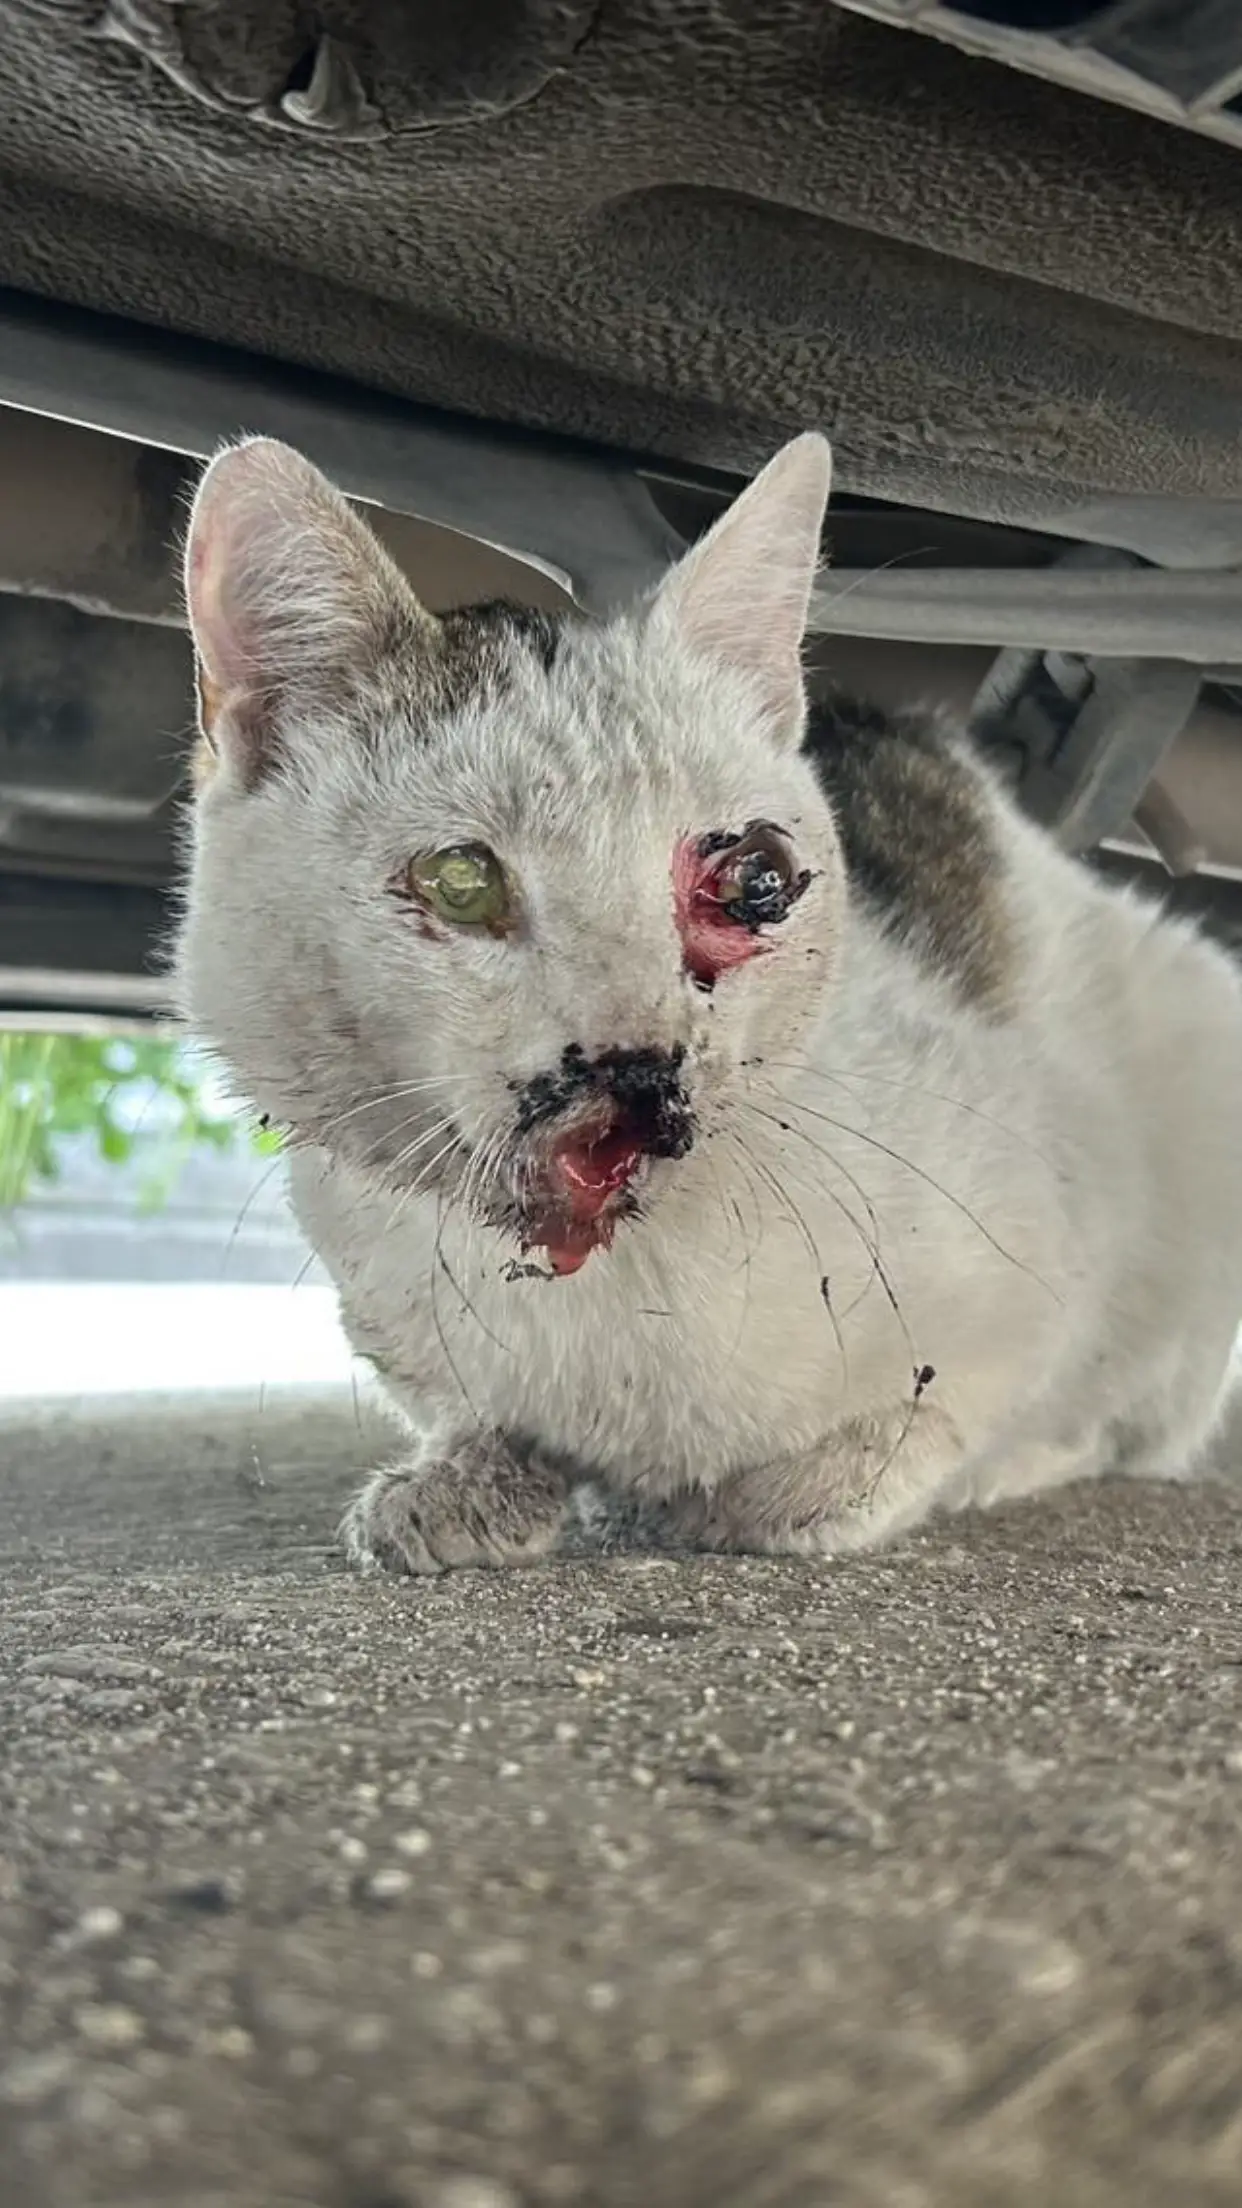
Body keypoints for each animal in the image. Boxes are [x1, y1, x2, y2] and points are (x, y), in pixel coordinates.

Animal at [178, 431, 1242, 1573]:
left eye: (757, 880)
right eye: (460, 880)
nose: (637, 1061)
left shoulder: (1050, 1235)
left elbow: (927, 1425)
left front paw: (757, 1495)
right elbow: (482, 1419)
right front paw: (473, 1480)